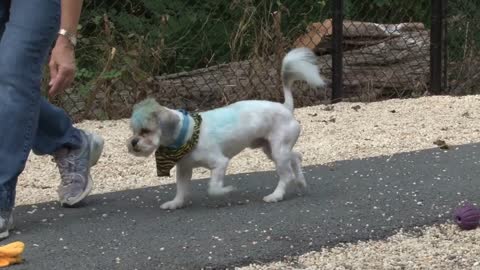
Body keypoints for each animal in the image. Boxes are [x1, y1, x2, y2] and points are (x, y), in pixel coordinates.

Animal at [127, 47, 324, 210]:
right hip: (271, 148)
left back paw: (276, 195)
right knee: (296, 157)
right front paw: (176, 203)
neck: (188, 135)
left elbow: (213, 188)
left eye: (146, 131)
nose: (133, 142)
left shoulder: (220, 163)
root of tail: (286, 107)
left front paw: (227, 190)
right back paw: (300, 182)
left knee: (286, 175)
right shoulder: (184, 169)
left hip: (278, 149)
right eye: (134, 131)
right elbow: (181, 190)